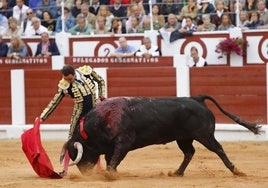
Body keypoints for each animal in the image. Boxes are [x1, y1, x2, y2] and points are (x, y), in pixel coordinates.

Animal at [62, 95, 260, 176]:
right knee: (189, 152)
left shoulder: (123, 143)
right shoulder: (112, 147)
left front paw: (110, 175)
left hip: (204, 135)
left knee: (218, 149)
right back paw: (177, 173)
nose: (85, 174)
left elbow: (114, 159)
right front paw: (113, 173)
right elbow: (112, 160)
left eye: (79, 154)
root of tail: (197, 99)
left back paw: (235, 170)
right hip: (183, 138)